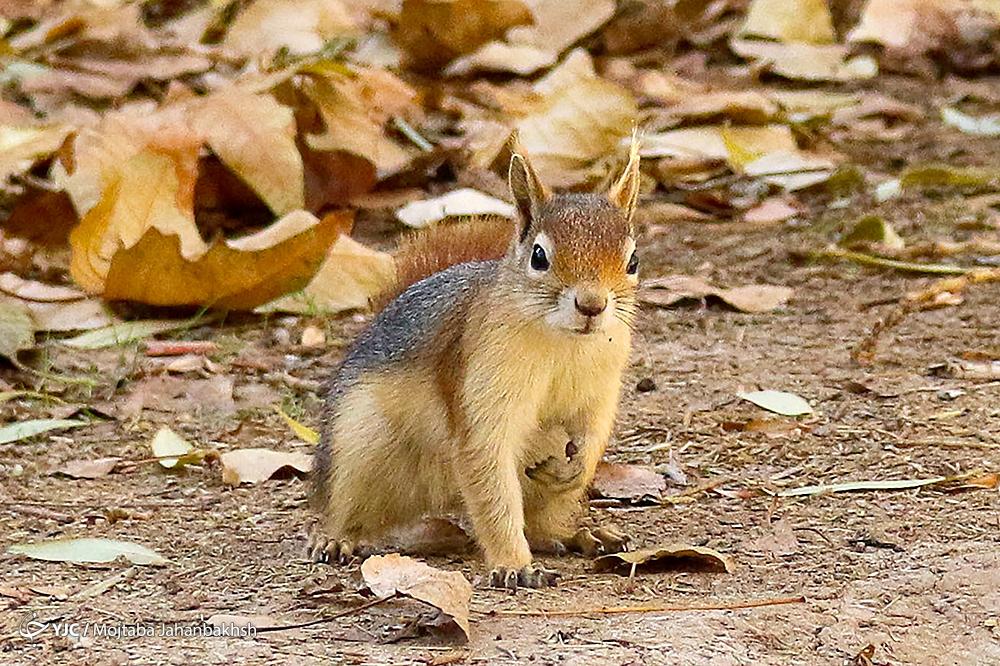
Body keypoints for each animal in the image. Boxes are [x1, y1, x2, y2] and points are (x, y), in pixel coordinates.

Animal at [308, 132, 644, 588]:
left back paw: (576, 534)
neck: (563, 344)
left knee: (541, 521)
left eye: (633, 260)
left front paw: (575, 466)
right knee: (347, 506)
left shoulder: (600, 388)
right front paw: (513, 566)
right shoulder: (482, 391)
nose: (592, 306)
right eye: (539, 256)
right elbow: (488, 471)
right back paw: (337, 539)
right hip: (359, 450)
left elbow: (593, 432)